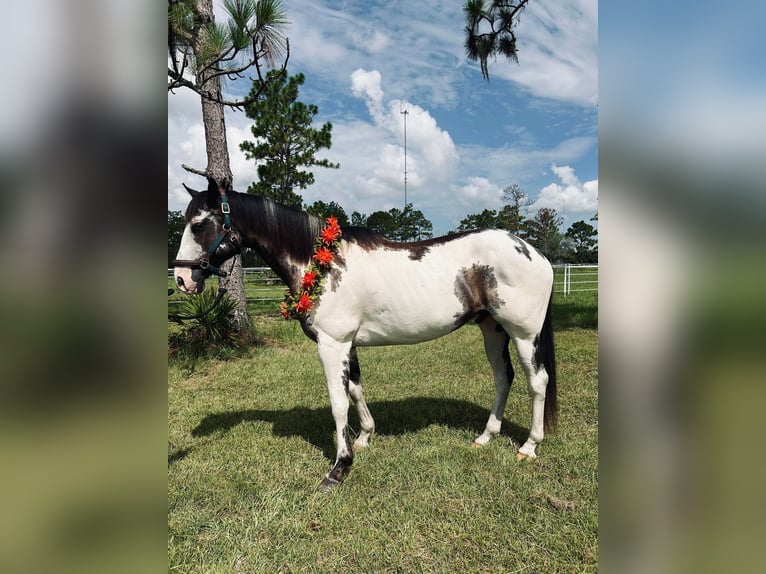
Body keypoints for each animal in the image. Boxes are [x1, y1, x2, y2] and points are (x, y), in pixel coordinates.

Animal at [173, 178, 557, 491]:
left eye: (199, 224)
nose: (182, 279)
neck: (322, 262)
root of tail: (534, 252)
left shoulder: (333, 345)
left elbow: (338, 403)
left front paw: (339, 467)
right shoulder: (348, 345)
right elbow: (356, 390)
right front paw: (365, 438)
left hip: (523, 334)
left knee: (537, 381)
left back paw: (529, 446)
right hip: (492, 330)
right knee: (503, 378)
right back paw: (485, 437)